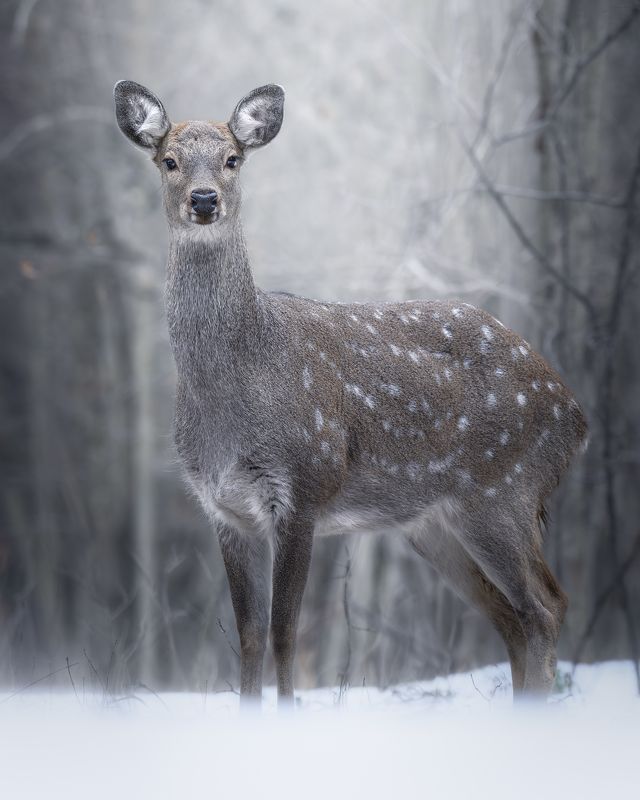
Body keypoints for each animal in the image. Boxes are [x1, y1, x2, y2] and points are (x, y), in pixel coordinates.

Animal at [114, 80, 588, 706]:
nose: (205, 199)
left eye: (233, 159)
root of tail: (576, 417)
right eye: (168, 160)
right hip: (434, 524)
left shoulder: (304, 485)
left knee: (546, 605)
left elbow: (284, 631)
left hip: (503, 490)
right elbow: (248, 635)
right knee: (513, 619)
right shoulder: (224, 509)